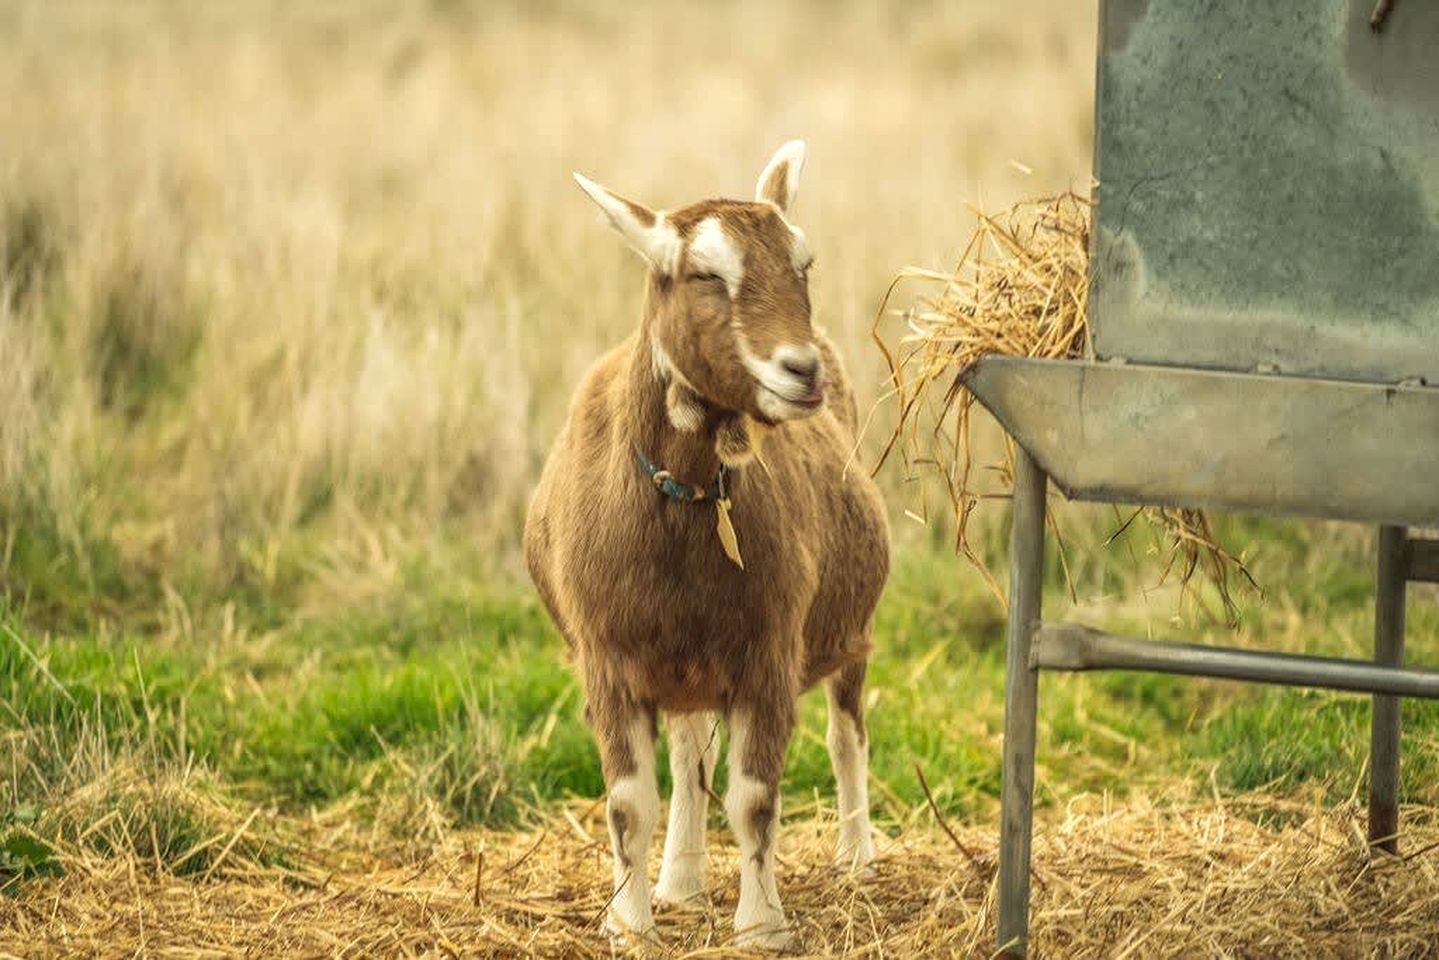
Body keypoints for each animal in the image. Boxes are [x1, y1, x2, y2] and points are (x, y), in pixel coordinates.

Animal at [524, 141, 889, 949]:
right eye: (704, 276)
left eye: (804, 264)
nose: (801, 370)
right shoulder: (608, 657)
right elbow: (630, 803)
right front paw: (630, 923)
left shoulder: (769, 649)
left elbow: (754, 800)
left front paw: (761, 927)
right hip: (684, 655)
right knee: (692, 751)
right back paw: (680, 881)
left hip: (848, 626)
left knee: (845, 731)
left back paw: (856, 855)